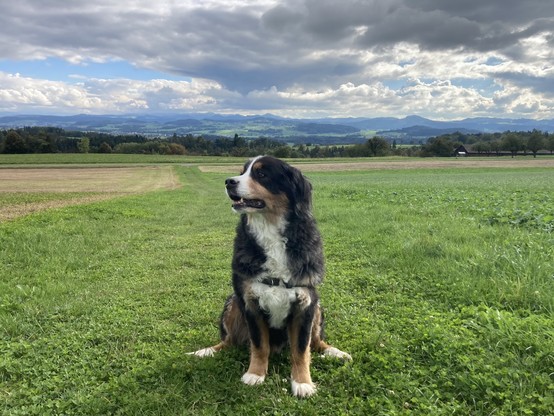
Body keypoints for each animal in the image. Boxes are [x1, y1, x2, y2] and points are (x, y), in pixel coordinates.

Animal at [190, 155, 352, 396]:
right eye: (242, 171)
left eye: (261, 174)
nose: (229, 182)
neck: (270, 231)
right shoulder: (250, 302)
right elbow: (259, 345)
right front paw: (255, 374)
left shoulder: (306, 303)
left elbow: (301, 349)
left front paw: (302, 382)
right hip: (232, 303)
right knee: (229, 341)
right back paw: (206, 351)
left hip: (318, 308)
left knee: (316, 342)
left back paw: (335, 352)